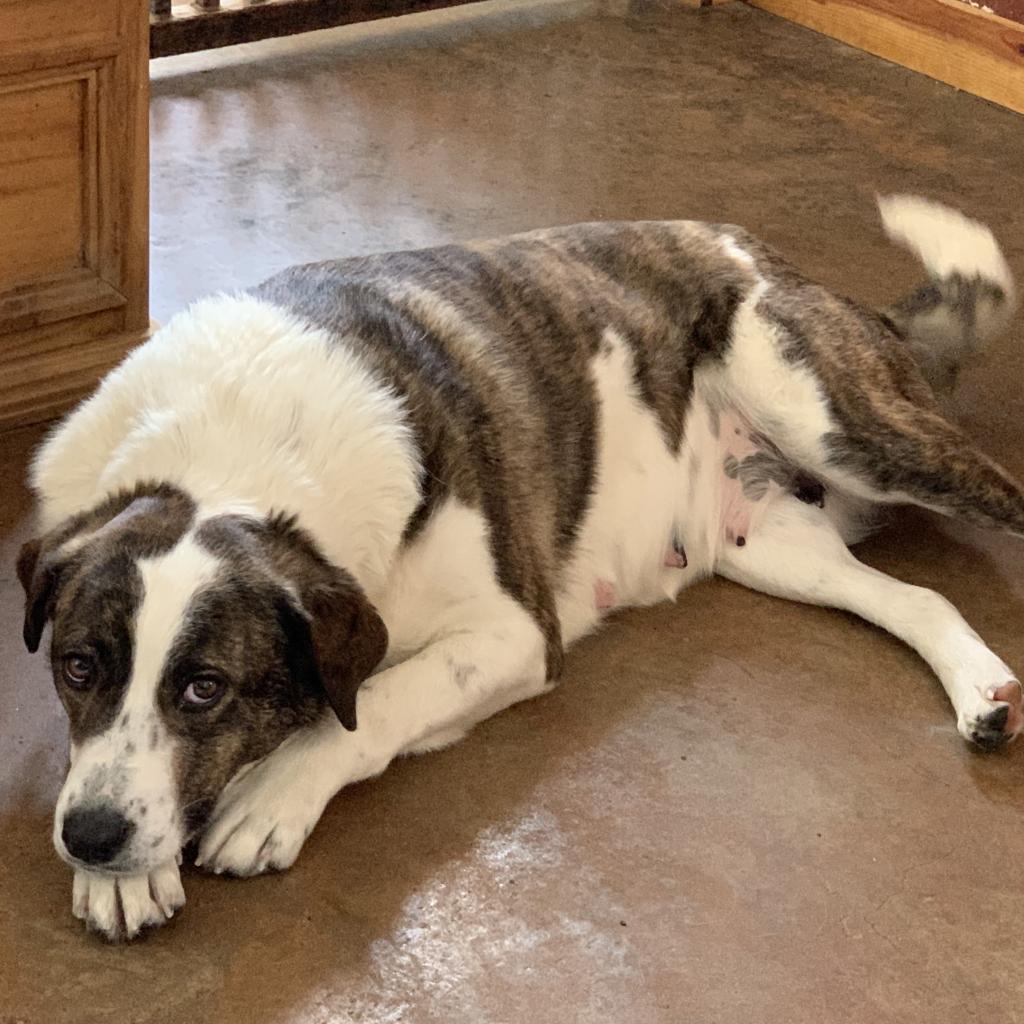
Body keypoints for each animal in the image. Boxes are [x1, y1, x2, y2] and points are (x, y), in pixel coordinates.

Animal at [18, 195, 1024, 937]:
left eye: (205, 689)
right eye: (78, 667)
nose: (92, 836)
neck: (236, 455)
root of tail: (797, 273)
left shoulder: (514, 633)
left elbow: (376, 702)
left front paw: (276, 790)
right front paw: (119, 876)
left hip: (841, 423)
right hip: (768, 544)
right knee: (916, 598)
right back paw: (981, 692)